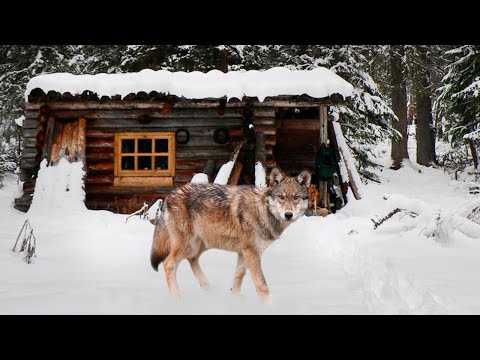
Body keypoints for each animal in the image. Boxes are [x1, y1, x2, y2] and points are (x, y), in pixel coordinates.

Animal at [150, 167, 312, 302]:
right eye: (281, 197)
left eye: (296, 197)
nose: (288, 214)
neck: (262, 210)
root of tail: (170, 195)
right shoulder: (252, 252)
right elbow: (262, 285)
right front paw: (269, 307)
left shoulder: (244, 252)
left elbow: (239, 275)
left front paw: (234, 298)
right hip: (189, 245)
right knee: (169, 263)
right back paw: (176, 296)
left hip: (200, 245)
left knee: (192, 259)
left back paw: (209, 288)